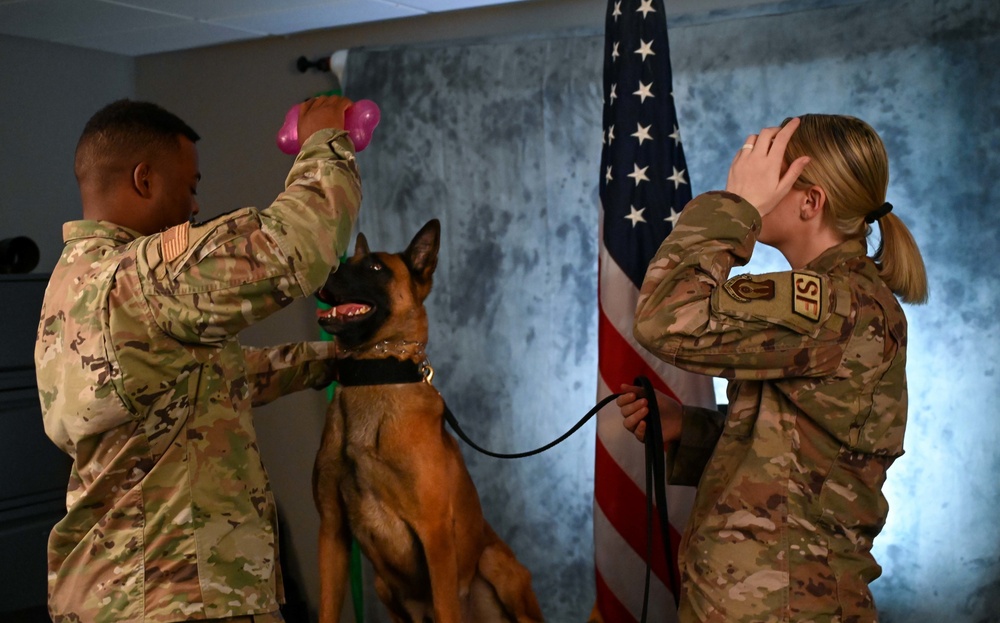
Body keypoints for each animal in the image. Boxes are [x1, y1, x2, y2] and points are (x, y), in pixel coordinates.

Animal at [316, 221, 544, 623]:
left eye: (375, 268)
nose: (323, 271)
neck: (374, 374)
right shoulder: (331, 532)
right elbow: (327, 608)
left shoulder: (435, 536)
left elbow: (445, 603)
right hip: (383, 588)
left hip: (499, 567)